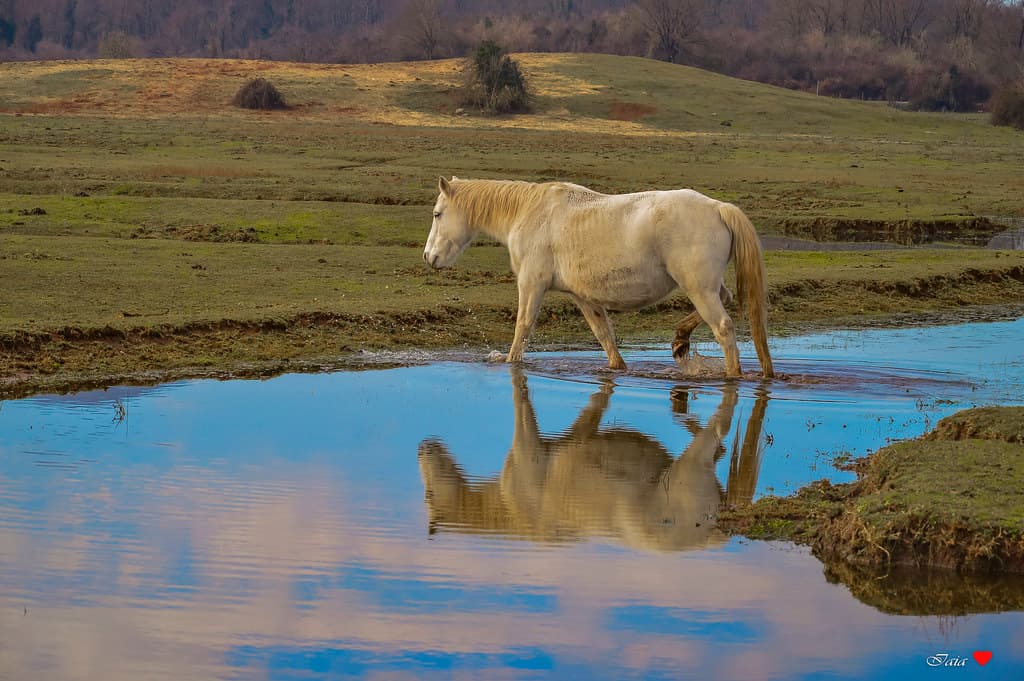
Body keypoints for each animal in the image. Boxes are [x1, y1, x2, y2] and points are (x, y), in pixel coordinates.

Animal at [423, 177, 774, 378]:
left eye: (438, 214)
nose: (429, 257)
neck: (529, 212)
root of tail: (718, 208)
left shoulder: (532, 285)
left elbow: (522, 329)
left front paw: (510, 362)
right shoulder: (583, 297)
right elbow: (604, 336)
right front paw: (617, 368)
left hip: (699, 288)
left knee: (724, 328)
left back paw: (731, 374)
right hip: (706, 288)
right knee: (726, 300)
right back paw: (679, 341)